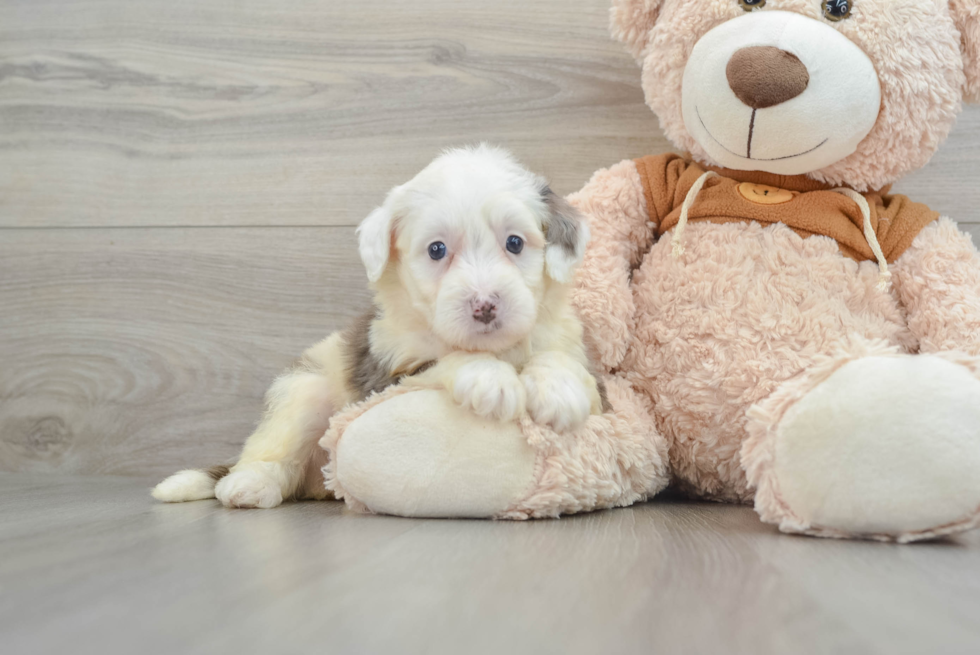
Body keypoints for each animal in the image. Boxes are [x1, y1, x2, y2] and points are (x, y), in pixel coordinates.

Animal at [152, 146, 604, 510]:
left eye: (514, 243)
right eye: (436, 249)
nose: (485, 305)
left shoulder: (580, 360)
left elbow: (560, 361)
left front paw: (558, 389)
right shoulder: (386, 375)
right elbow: (443, 363)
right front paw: (489, 379)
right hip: (303, 391)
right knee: (269, 452)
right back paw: (247, 485)